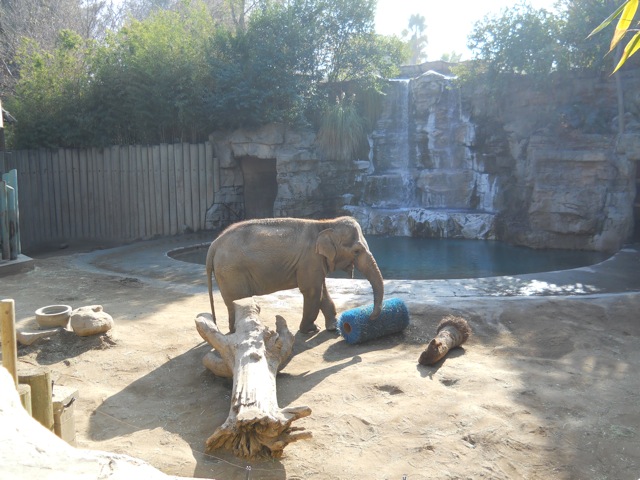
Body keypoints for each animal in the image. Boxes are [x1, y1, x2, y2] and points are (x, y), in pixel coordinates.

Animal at [206, 216, 384, 334]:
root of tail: (214, 244)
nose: (370, 317)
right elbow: (312, 291)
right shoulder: (309, 259)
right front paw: (311, 329)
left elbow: (322, 290)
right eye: (357, 251)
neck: (326, 224)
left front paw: (334, 328)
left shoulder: (316, 262)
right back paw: (236, 332)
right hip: (231, 271)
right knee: (238, 300)